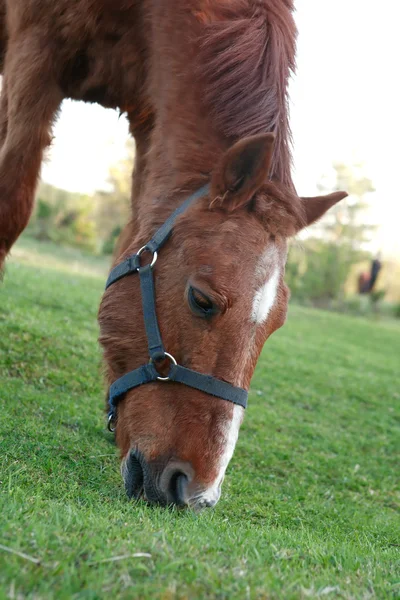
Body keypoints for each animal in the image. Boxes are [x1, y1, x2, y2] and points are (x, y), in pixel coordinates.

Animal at [0, 0, 346, 508]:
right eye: (201, 300)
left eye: (277, 325)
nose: (196, 493)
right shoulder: (35, 52)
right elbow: (10, 204)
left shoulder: (152, 122)